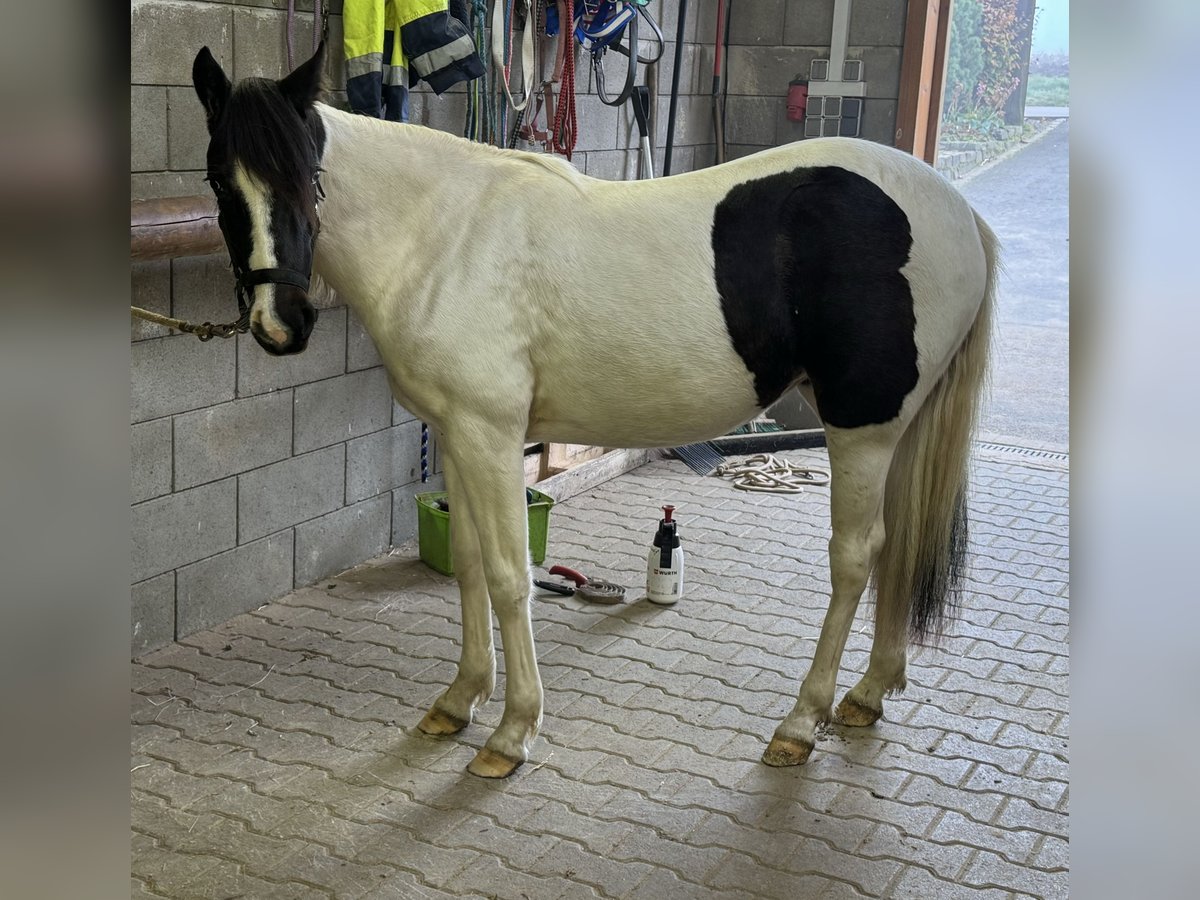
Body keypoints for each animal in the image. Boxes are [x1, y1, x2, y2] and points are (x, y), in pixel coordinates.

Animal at [189, 42, 993, 777]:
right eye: (220, 182)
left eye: (309, 177)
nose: (280, 323)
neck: (444, 236)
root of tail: (959, 212)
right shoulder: (457, 435)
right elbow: (471, 567)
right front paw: (460, 700)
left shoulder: (491, 436)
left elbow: (511, 578)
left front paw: (512, 732)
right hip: (899, 432)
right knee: (898, 550)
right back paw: (867, 694)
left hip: (864, 429)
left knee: (857, 559)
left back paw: (801, 721)